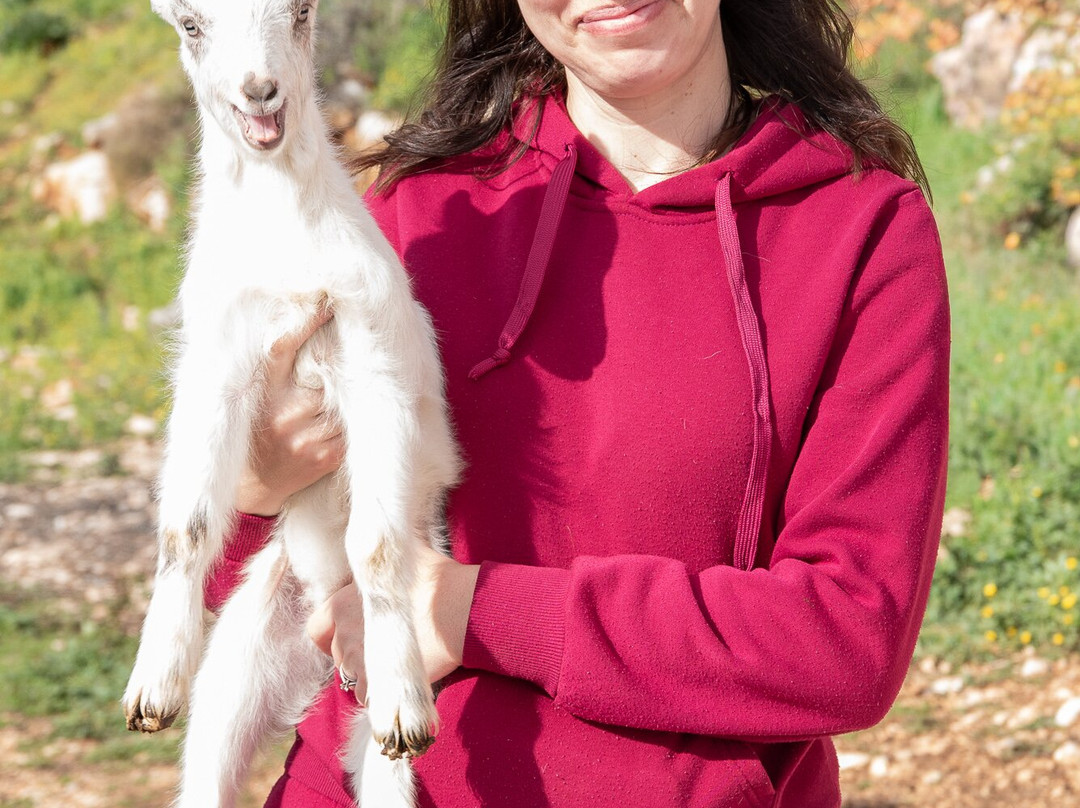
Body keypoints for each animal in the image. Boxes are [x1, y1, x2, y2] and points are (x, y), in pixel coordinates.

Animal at [121, 2, 460, 806]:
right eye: (190, 26)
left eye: (302, 13)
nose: (260, 92)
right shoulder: (215, 364)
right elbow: (185, 525)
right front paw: (152, 684)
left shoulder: (371, 365)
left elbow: (377, 541)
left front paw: (407, 706)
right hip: (240, 658)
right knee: (209, 768)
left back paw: (395, 704)